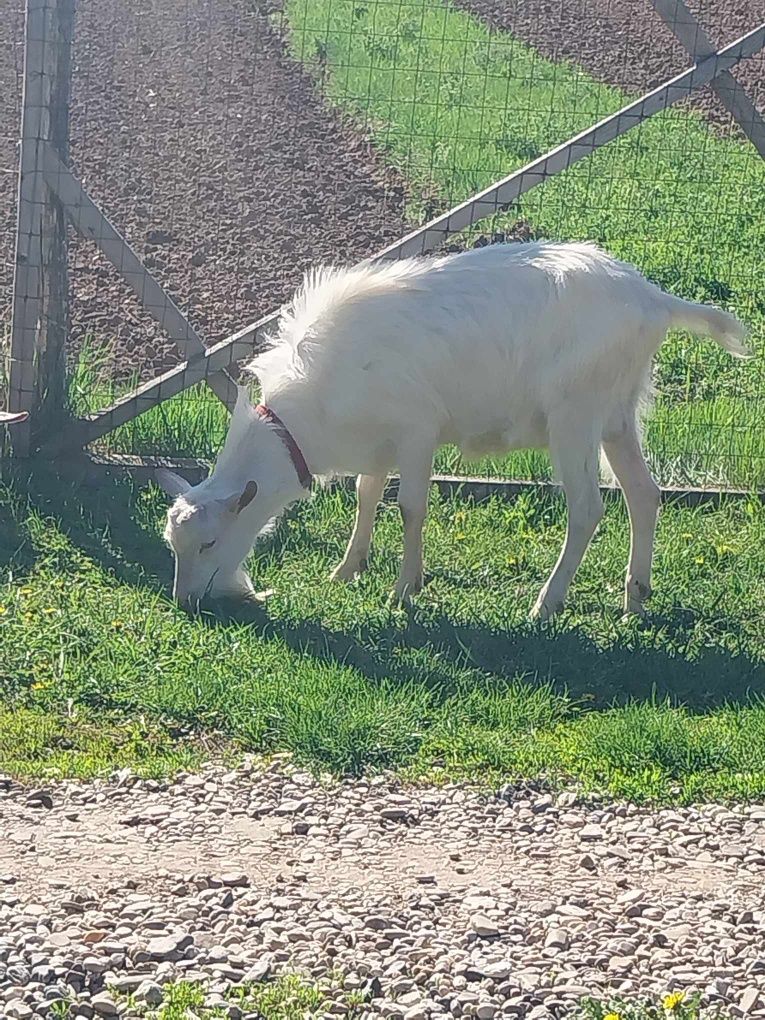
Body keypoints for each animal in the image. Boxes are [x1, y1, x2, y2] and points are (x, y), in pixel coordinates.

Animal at [157, 242, 750, 616]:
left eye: (209, 542)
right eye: (173, 545)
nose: (185, 603)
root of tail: (654, 299)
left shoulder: (417, 431)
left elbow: (410, 507)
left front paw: (404, 588)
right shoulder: (380, 442)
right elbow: (366, 493)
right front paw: (348, 568)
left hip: (575, 416)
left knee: (587, 509)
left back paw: (547, 602)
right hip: (617, 415)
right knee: (644, 496)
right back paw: (635, 598)